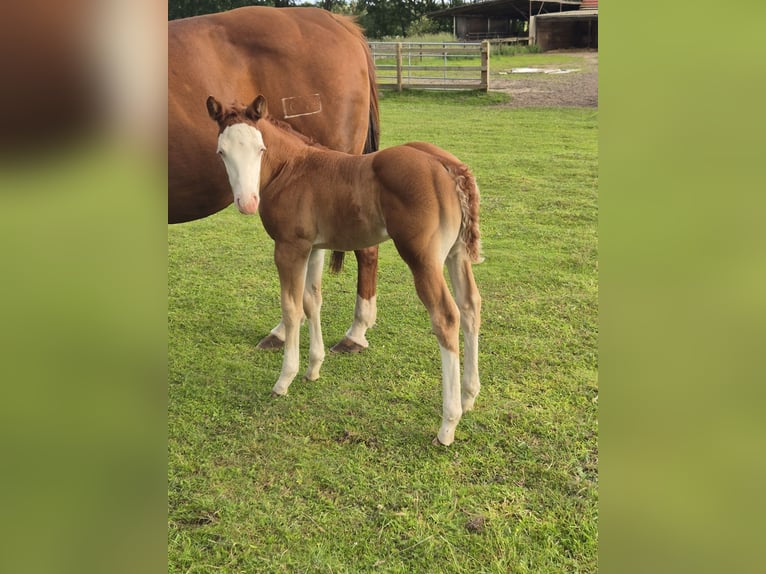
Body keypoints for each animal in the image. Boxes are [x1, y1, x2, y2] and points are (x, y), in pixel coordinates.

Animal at [206, 95, 483, 446]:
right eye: (221, 152)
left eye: (260, 149)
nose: (247, 202)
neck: (291, 169)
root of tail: (446, 165)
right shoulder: (314, 248)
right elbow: (312, 301)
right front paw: (313, 368)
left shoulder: (289, 248)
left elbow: (291, 308)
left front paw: (284, 380)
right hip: (456, 254)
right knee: (471, 306)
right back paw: (469, 397)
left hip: (423, 257)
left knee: (446, 317)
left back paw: (447, 425)